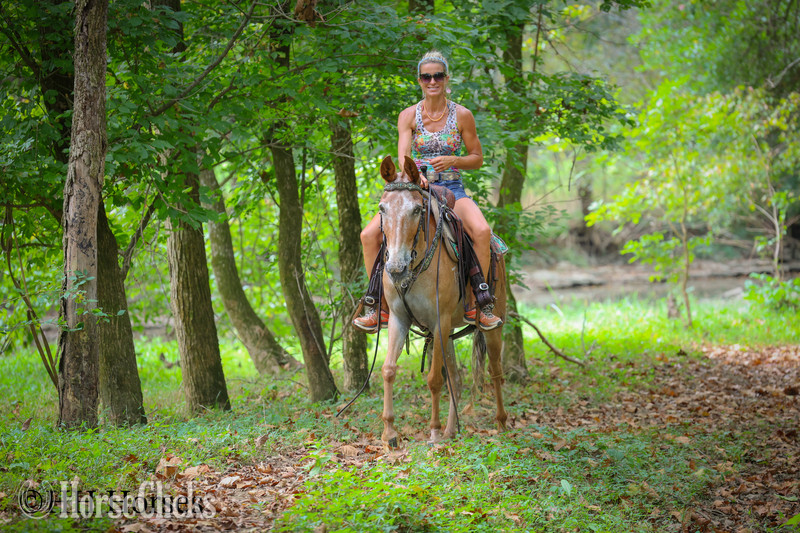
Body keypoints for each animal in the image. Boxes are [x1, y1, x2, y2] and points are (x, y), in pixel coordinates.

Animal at [377, 155, 507, 447]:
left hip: (490, 325)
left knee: (495, 370)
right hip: (446, 334)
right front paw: (390, 433)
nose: (396, 268)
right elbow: (389, 369)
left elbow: (435, 379)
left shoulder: (439, 320)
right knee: (456, 380)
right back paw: (451, 430)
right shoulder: (400, 319)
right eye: (382, 209)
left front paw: (434, 431)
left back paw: (501, 424)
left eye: (416, 210)